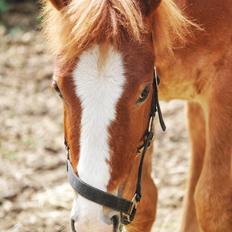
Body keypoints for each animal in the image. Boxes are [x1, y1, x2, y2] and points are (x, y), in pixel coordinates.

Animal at [41, 0, 232, 231]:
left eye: (144, 93)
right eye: (57, 89)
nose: (92, 223)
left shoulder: (223, 88)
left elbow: (213, 204)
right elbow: (145, 204)